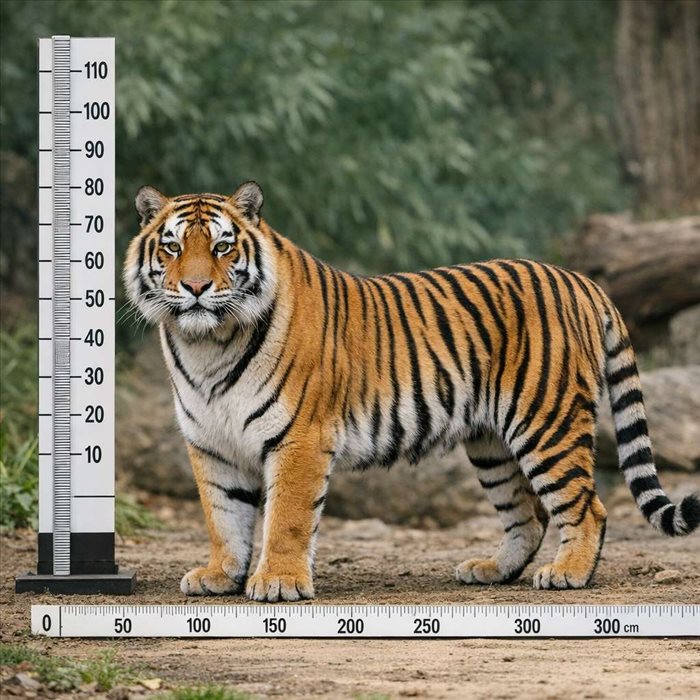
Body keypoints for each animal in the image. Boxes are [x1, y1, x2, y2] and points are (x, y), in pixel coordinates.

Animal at [123, 181, 699, 602]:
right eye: (173, 246)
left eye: (223, 246)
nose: (196, 288)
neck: (206, 344)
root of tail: (581, 279)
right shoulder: (211, 444)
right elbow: (223, 516)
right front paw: (220, 574)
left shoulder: (299, 438)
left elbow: (286, 517)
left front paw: (279, 583)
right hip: (491, 442)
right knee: (528, 516)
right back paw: (492, 569)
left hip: (546, 422)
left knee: (585, 506)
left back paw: (568, 573)